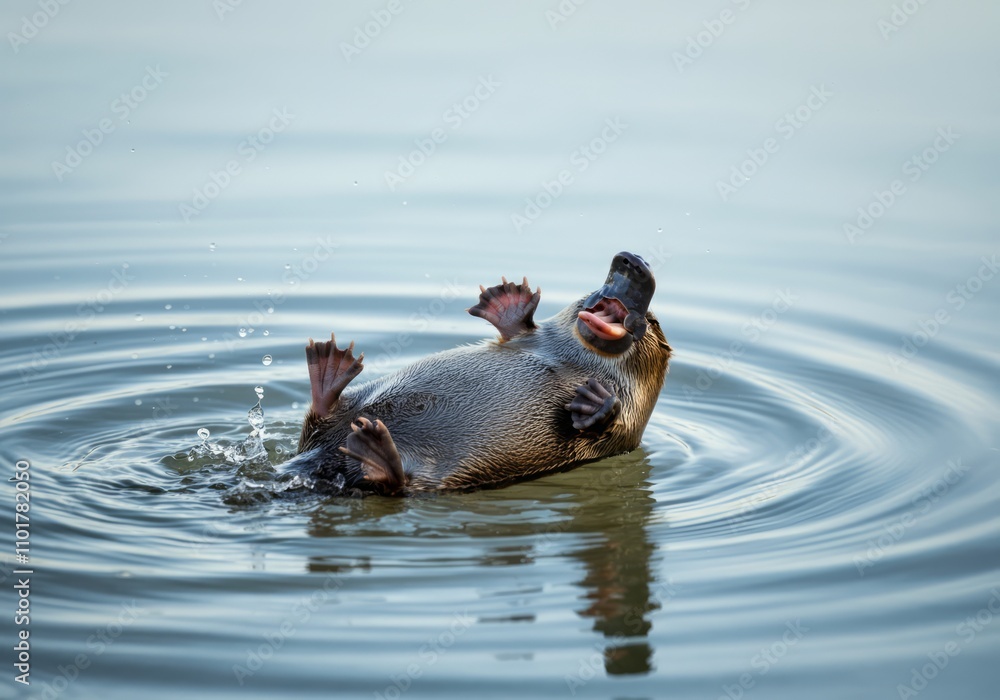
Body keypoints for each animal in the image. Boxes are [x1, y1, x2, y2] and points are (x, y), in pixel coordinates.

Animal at [291, 251, 671, 495]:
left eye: (652, 321)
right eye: (591, 290)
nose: (633, 262)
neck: (574, 359)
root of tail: (316, 462)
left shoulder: (630, 425)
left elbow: (611, 428)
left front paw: (596, 400)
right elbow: (518, 330)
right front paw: (508, 297)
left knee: (397, 485)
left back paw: (374, 445)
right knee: (319, 418)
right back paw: (330, 365)